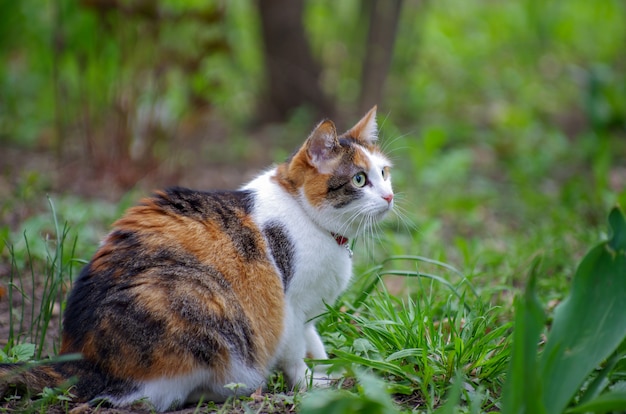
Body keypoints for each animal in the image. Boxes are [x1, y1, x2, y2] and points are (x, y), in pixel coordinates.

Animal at [0, 106, 392, 410]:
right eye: (359, 180)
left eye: (384, 173)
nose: (389, 196)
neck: (311, 220)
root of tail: (77, 360)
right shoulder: (291, 307)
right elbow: (295, 353)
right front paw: (311, 385)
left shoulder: (311, 311)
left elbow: (316, 343)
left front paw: (330, 369)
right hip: (198, 299)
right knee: (147, 397)